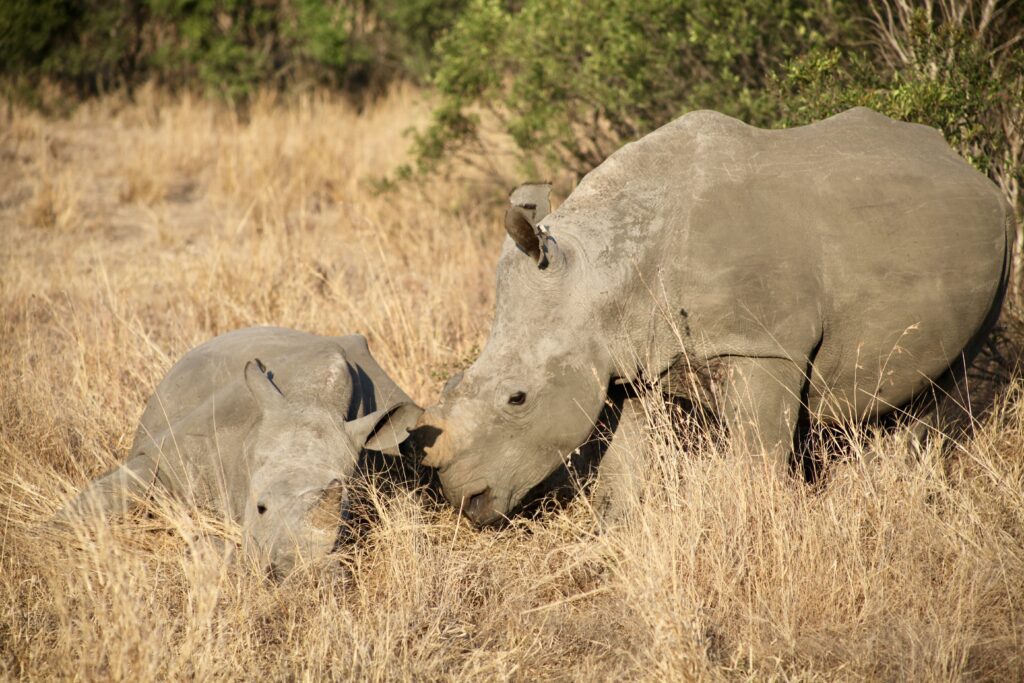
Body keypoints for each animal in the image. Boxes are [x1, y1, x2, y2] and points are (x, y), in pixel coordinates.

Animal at [59, 325, 421, 577]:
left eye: (343, 520)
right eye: (260, 507)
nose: (297, 575)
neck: (312, 399)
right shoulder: (173, 455)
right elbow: (112, 496)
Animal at [417, 107, 1015, 528]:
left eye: (517, 399)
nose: (466, 500)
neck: (603, 269)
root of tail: (970, 168)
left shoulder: (764, 344)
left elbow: (756, 458)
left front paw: (758, 527)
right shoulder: (632, 352)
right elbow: (623, 461)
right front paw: (615, 536)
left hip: (1001, 230)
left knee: (952, 378)